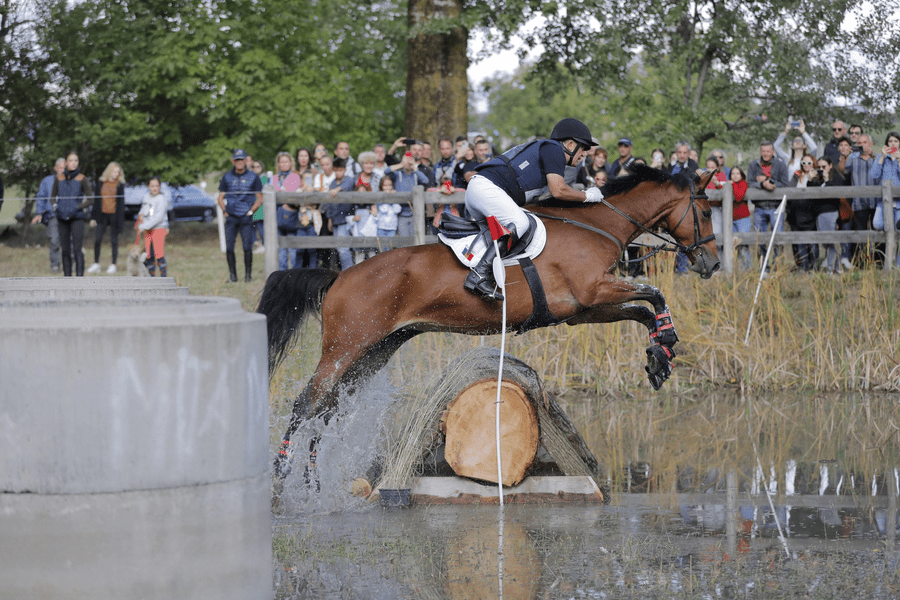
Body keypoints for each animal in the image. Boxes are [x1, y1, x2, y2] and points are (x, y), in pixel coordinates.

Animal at [259, 164, 720, 483]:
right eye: (704, 211)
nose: (712, 263)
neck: (596, 226)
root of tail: (339, 276)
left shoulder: (583, 309)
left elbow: (643, 308)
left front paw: (660, 356)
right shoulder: (593, 292)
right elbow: (652, 293)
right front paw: (665, 344)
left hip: (375, 349)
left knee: (331, 407)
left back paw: (312, 479)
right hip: (345, 347)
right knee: (308, 403)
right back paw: (282, 478)